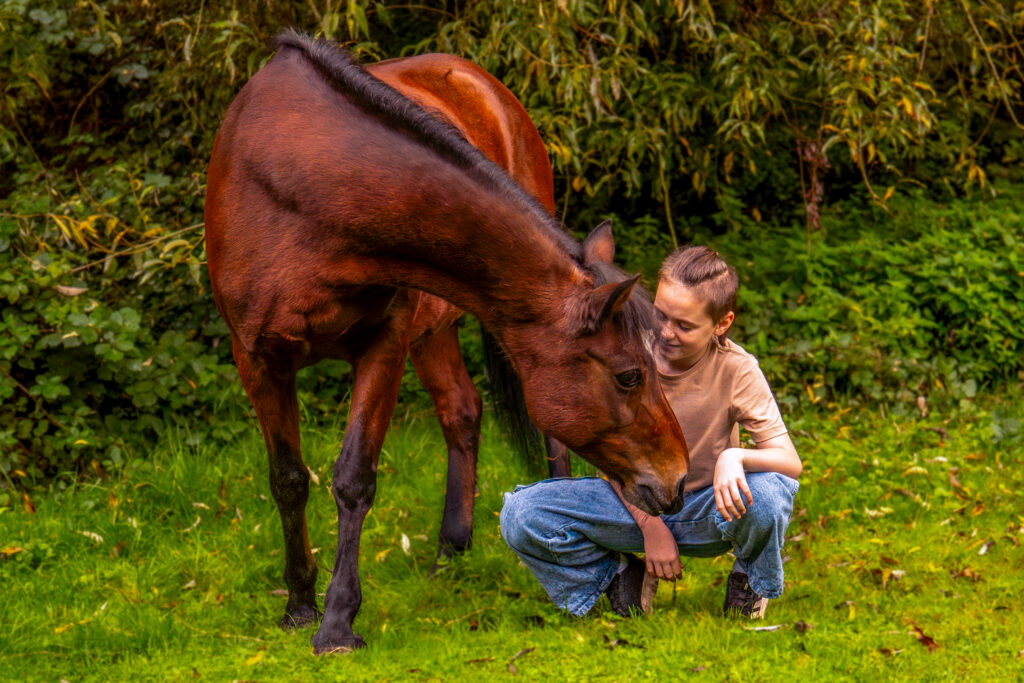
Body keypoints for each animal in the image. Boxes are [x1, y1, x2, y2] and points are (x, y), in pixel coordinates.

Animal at [204, 30, 689, 654]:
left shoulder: (383, 342)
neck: (306, 188)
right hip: (432, 329)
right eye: (630, 375)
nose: (678, 479)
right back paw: (451, 551)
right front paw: (300, 605)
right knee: (460, 411)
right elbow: (288, 480)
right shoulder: (258, 358)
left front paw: (337, 619)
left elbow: (353, 478)